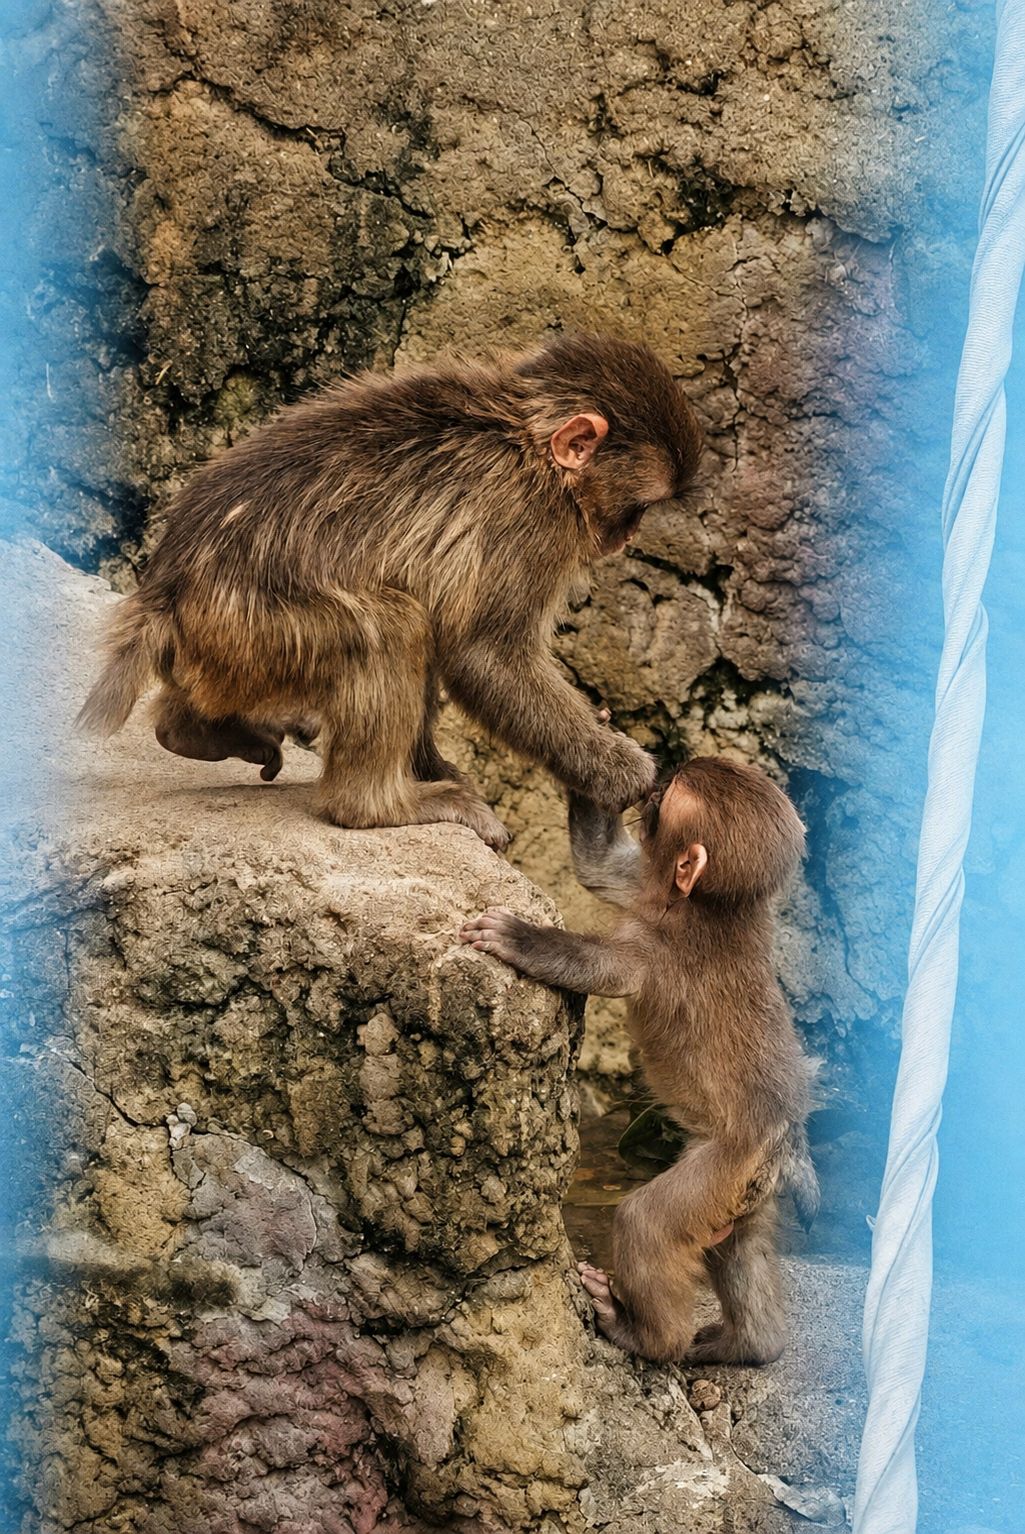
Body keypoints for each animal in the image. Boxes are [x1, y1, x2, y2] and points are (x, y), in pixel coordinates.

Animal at [77, 336, 702, 849]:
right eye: (640, 507)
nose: (627, 538)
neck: (528, 444)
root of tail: (164, 592)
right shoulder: (525, 522)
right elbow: (485, 657)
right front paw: (623, 772)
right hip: (254, 630)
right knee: (393, 624)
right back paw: (375, 806)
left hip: (232, 652)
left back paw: (189, 729)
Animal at [459, 757, 818, 1364]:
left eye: (672, 794)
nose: (662, 778)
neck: (710, 909)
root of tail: (782, 1144)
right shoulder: (647, 887)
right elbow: (601, 866)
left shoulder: (659, 946)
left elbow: (601, 967)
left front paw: (521, 938)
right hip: (742, 1191)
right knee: (739, 1244)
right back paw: (751, 1344)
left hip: (725, 1164)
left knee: (646, 1224)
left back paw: (644, 1335)